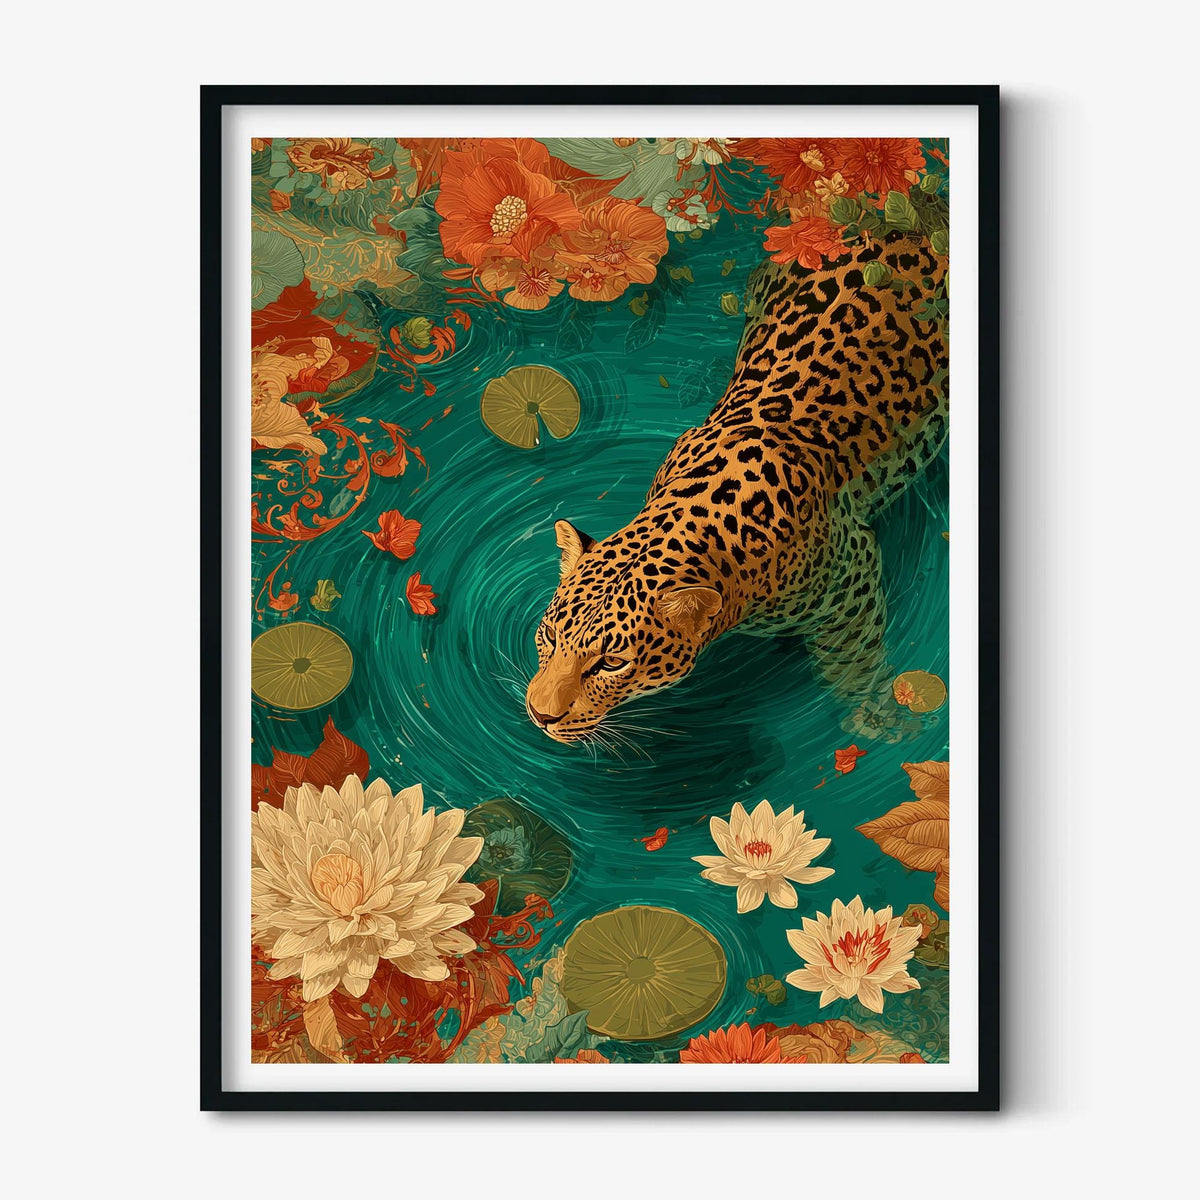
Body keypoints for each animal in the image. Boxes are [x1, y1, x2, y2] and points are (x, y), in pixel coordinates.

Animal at [525, 229, 948, 744]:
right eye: (549, 635)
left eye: (611, 662)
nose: (539, 714)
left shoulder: (851, 573)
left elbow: (851, 652)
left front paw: (874, 712)